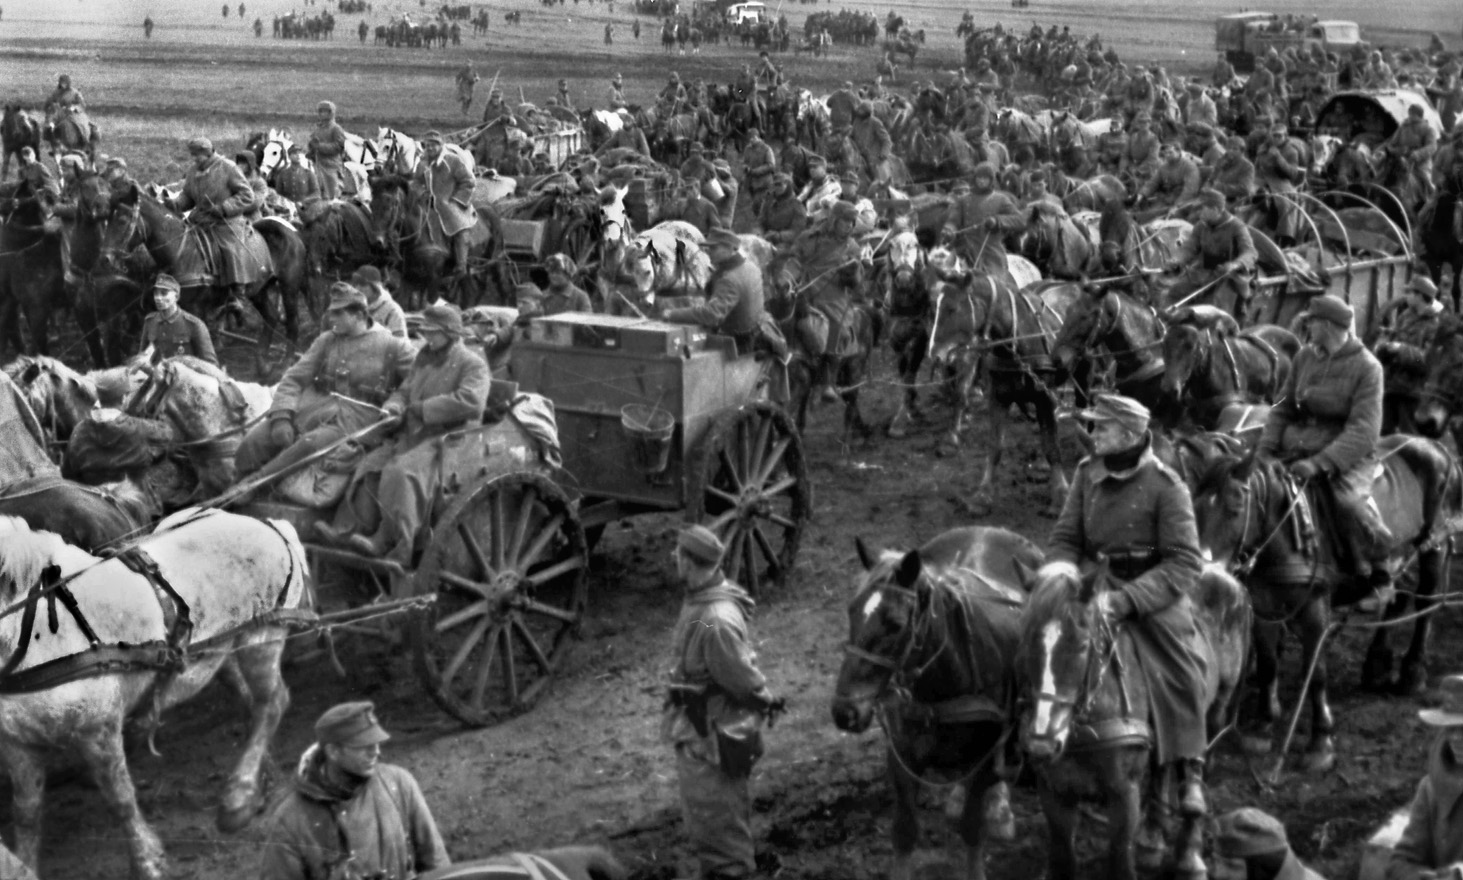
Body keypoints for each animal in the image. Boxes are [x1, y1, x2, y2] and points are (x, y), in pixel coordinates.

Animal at [0, 505, 305, 877]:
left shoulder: (97, 731)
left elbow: (120, 799)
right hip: (220, 651)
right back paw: (264, 779)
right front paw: (23, 867)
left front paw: (148, 862)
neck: (38, 634)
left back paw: (240, 795)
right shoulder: (17, 745)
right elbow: (26, 813)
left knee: (270, 703)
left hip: (262, 638)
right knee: (250, 703)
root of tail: (272, 525)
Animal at [830, 523, 1047, 877]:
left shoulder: (985, 758)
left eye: (895, 624)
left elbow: (972, 828)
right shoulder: (902, 757)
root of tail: (987, 529)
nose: (845, 711)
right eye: (851, 611)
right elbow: (904, 833)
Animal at [930, 268, 1070, 514]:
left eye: (952, 308)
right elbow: (995, 447)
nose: (934, 354)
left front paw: (1060, 495)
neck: (1019, 339)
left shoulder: (1044, 398)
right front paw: (982, 494)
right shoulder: (998, 398)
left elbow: (1051, 446)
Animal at [1018, 558, 1246, 880]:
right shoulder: (1054, 791)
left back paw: (1190, 853)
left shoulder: (1124, 795)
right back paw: (1153, 839)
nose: (1042, 745)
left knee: (1195, 766)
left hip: (1216, 707)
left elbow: (1120, 858)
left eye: (1081, 645)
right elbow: (1064, 857)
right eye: (1026, 641)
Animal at [1193, 438, 1457, 765]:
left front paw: (1321, 741)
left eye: (1235, 507)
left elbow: (1315, 671)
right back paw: (1376, 666)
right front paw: (1263, 726)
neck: (1285, 532)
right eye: (1195, 505)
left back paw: (1412, 673)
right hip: (1400, 556)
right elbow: (1268, 664)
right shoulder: (1264, 605)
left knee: (1425, 606)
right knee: (1397, 600)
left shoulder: (1315, 608)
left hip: (1434, 547)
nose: (1204, 572)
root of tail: (1438, 447)